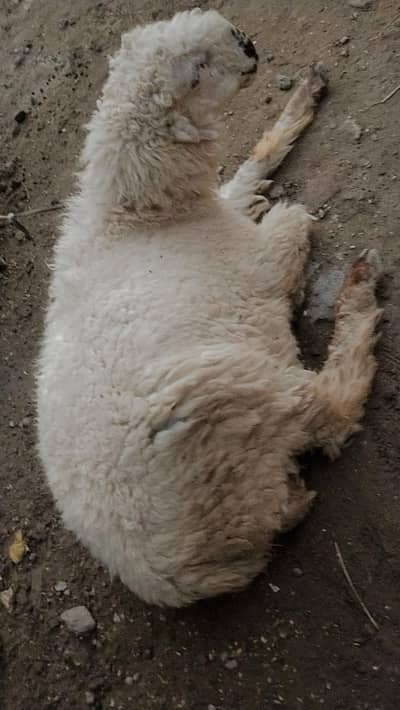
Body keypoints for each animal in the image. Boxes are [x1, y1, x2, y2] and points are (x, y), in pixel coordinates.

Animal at [36, 8, 383, 607]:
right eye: (194, 73)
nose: (245, 43)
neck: (134, 216)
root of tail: (177, 577)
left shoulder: (223, 211)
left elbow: (250, 170)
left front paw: (304, 98)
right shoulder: (259, 263)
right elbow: (292, 219)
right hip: (234, 394)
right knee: (335, 413)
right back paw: (359, 293)